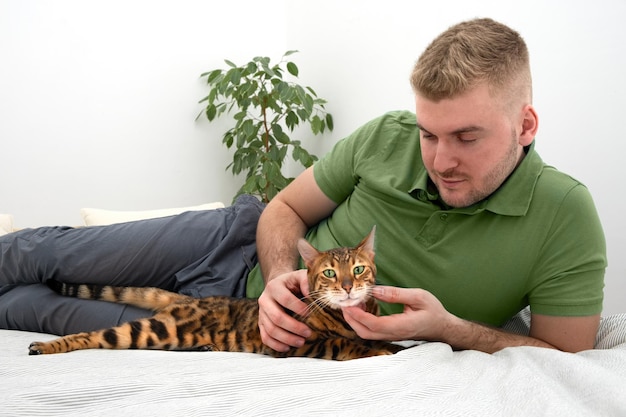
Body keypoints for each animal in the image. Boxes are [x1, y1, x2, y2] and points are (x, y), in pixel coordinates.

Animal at [28, 226, 404, 360]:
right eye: (329, 273)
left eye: (359, 269)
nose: (348, 286)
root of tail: (191, 300)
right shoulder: (296, 342)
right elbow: (344, 343)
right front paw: (379, 350)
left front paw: (392, 343)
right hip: (154, 330)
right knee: (94, 335)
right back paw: (47, 346)